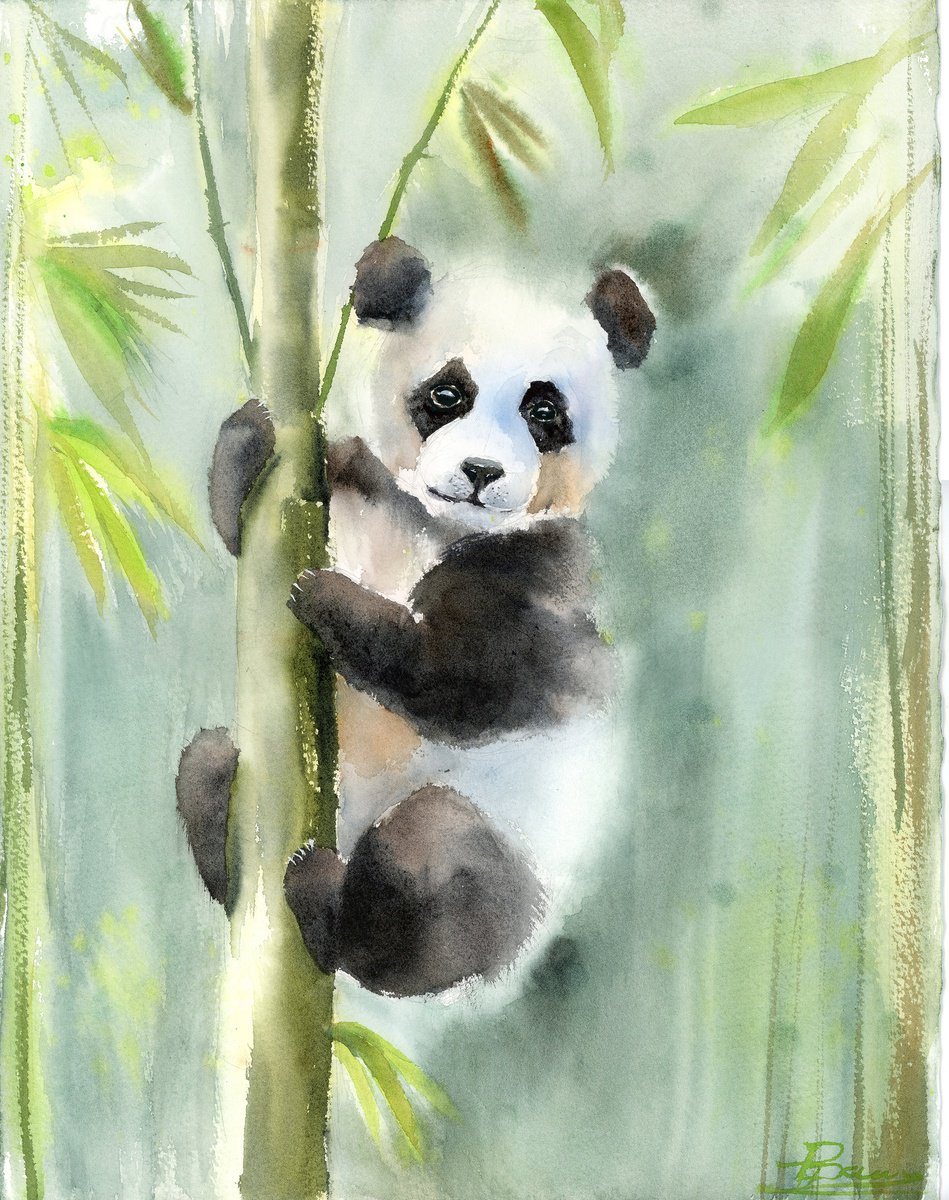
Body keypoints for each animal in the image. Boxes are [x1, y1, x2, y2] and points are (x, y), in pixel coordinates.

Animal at [176, 237, 655, 1000]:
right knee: (206, 763)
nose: (481, 472)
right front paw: (249, 441)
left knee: (427, 867)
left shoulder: (544, 576)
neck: (430, 523)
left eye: (543, 411)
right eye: (446, 394)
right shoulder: (348, 490)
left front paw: (327, 597)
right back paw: (226, 818)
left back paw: (327, 902)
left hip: (508, 850)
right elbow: (247, 532)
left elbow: (465, 680)